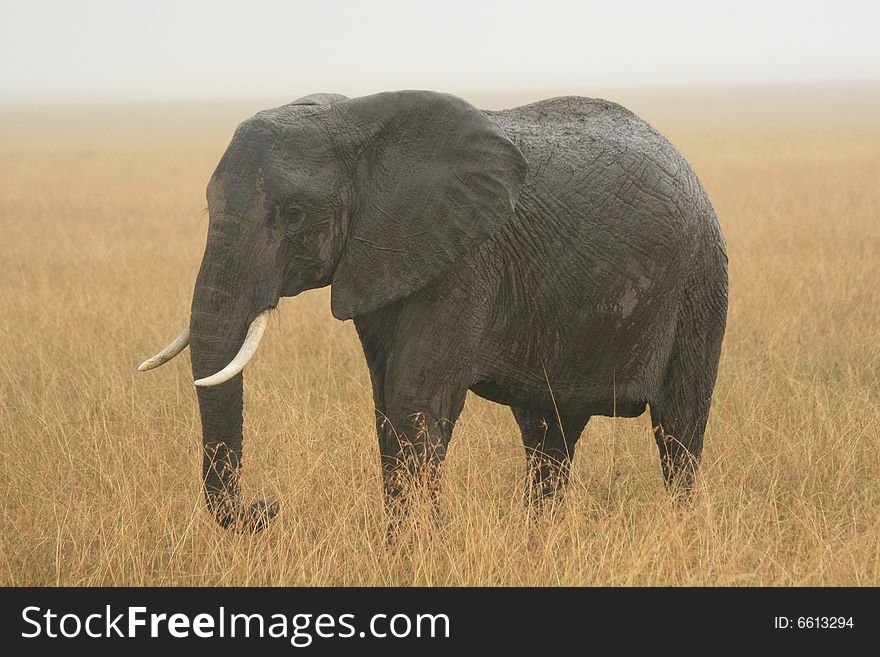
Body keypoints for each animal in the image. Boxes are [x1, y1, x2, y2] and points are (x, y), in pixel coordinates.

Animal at [139, 89, 728, 532]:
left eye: (294, 214)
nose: (267, 507)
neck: (356, 126)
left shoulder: (465, 259)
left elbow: (413, 399)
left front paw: (421, 544)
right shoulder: (381, 258)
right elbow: (386, 402)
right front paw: (406, 543)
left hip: (702, 283)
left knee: (678, 431)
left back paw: (677, 530)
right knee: (548, 434)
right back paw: (542, 535)